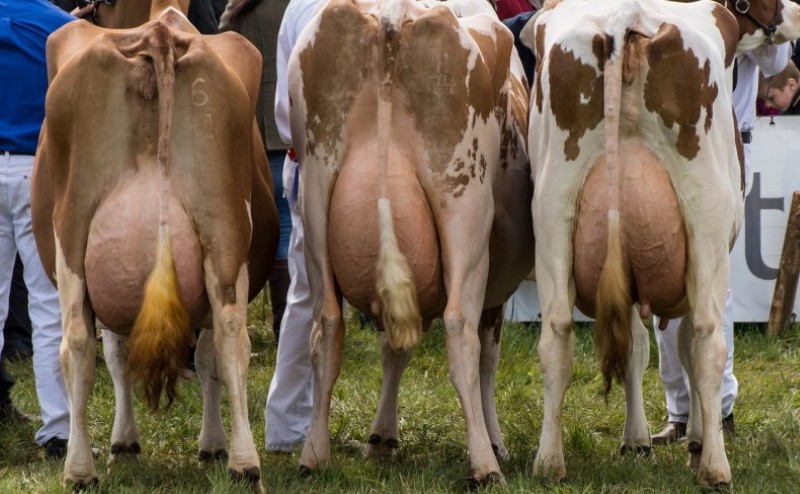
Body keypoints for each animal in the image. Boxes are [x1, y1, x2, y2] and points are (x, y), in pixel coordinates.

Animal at [32, 0, 278, 490]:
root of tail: (158, 33)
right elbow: (196, 356)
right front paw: (205, 445)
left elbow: (118, 354)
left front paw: (127, 442)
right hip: (221, 231)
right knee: (228, 334)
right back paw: (243, 465)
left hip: (74, 234)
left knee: (80, 345)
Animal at [290, 0, 536, 486]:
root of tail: (391, 14)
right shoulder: (495, 291)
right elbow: (488, 360)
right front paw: (496, 442)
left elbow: (395, 347)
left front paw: (381, 438)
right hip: (464, 210)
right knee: (460, 331)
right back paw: (484, 464)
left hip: (315, 197)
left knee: (326, 328)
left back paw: (313, 455)